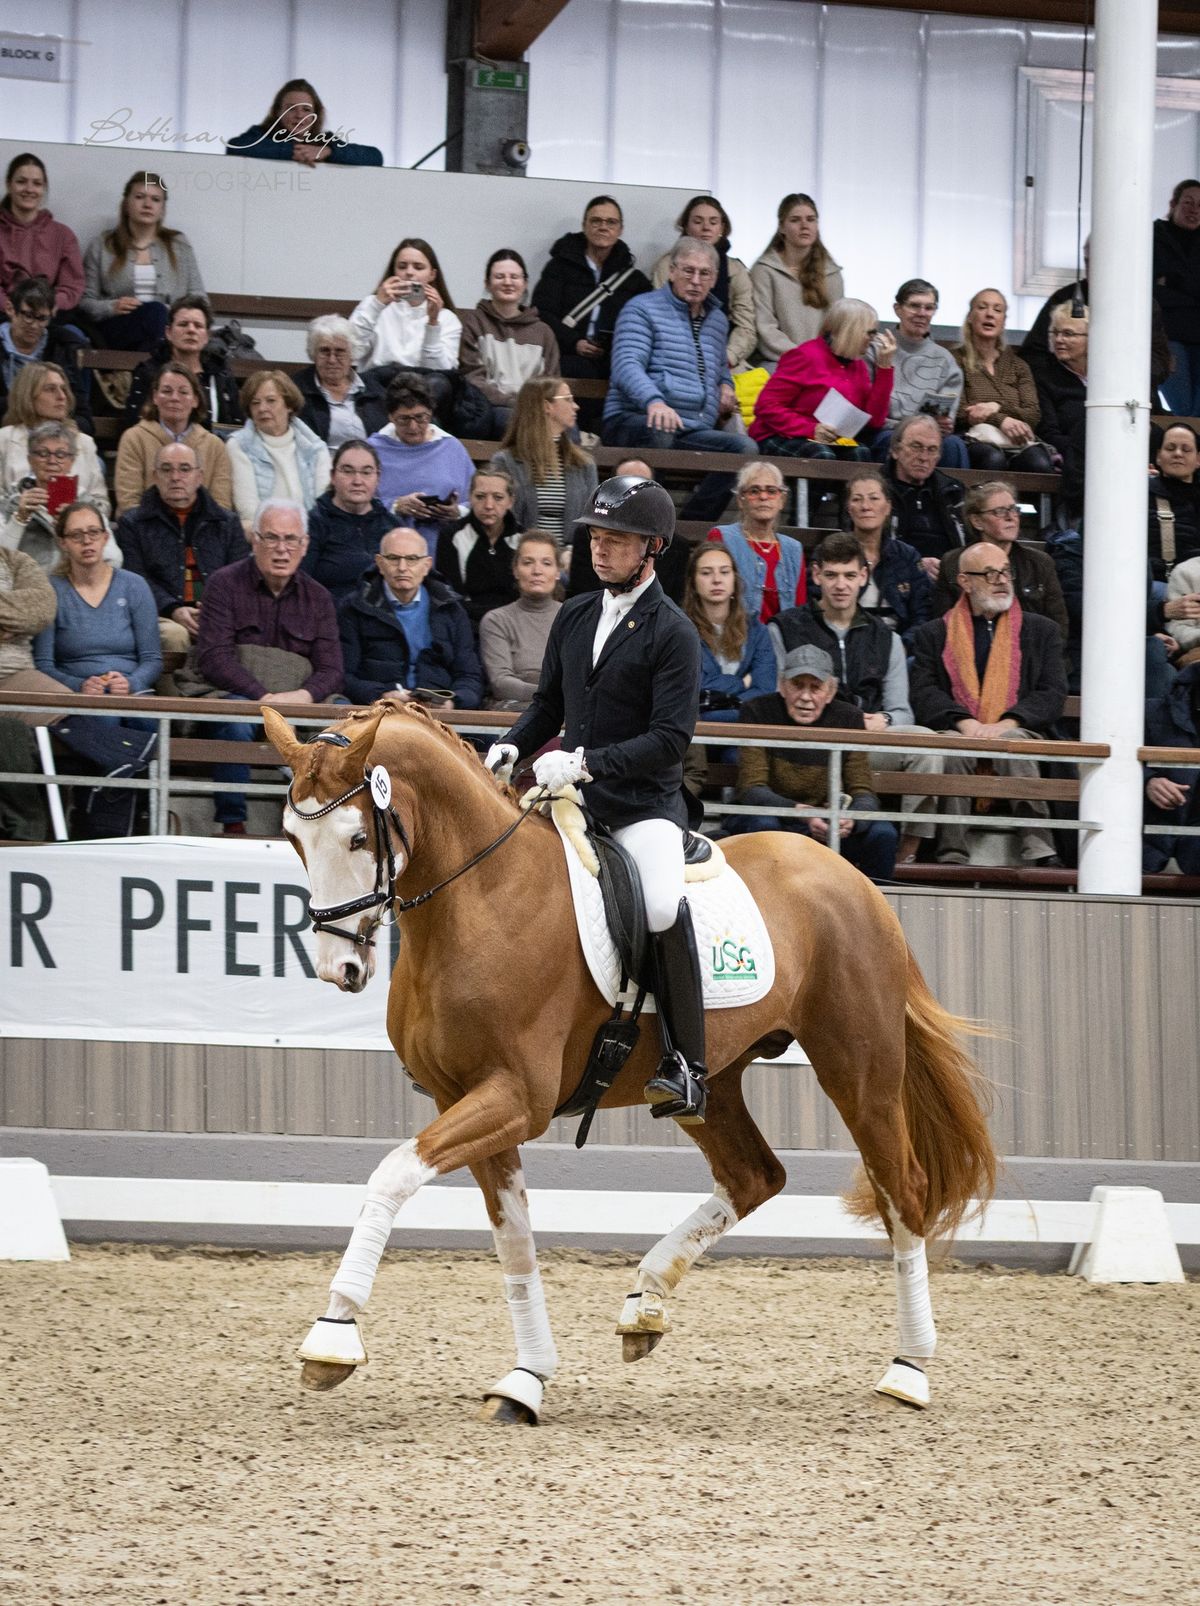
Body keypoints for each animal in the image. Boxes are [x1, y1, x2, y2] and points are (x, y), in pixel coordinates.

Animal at [268, 703, 1002, 1419]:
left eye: (357, 839)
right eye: (295, 839)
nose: (340, 969)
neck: (484, 897)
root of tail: (853, 878)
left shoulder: (516, 1099)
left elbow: (391, 1175)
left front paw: (333, 1336)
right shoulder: (467, 1100)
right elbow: (514, 1237)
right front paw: (525, 1380)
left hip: (859, 1069)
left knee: (902, 1189)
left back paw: (908, 1370)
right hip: (712, 1084)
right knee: (755, 1176)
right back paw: (645, 1303)